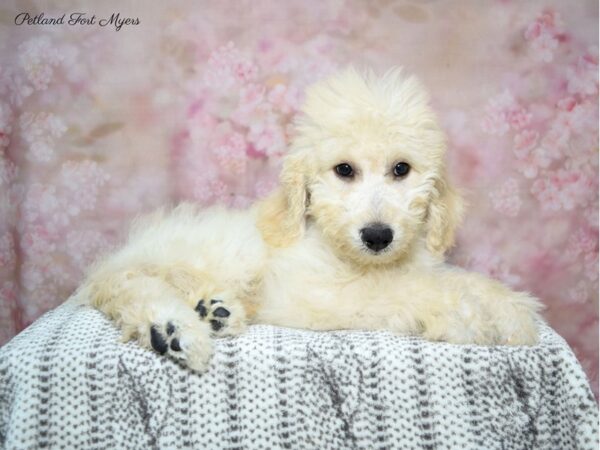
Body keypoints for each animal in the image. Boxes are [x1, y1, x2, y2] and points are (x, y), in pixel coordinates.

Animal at [77, 68, 540, 372]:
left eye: (401, 169)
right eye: (344, 170)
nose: (377, 236)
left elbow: (455, 279)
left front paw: (511, 309)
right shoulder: (320, 292)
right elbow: (411, 289)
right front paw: (477, 315)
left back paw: (214, 312)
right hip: (219, 253)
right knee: (131, 286)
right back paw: (174, 330)